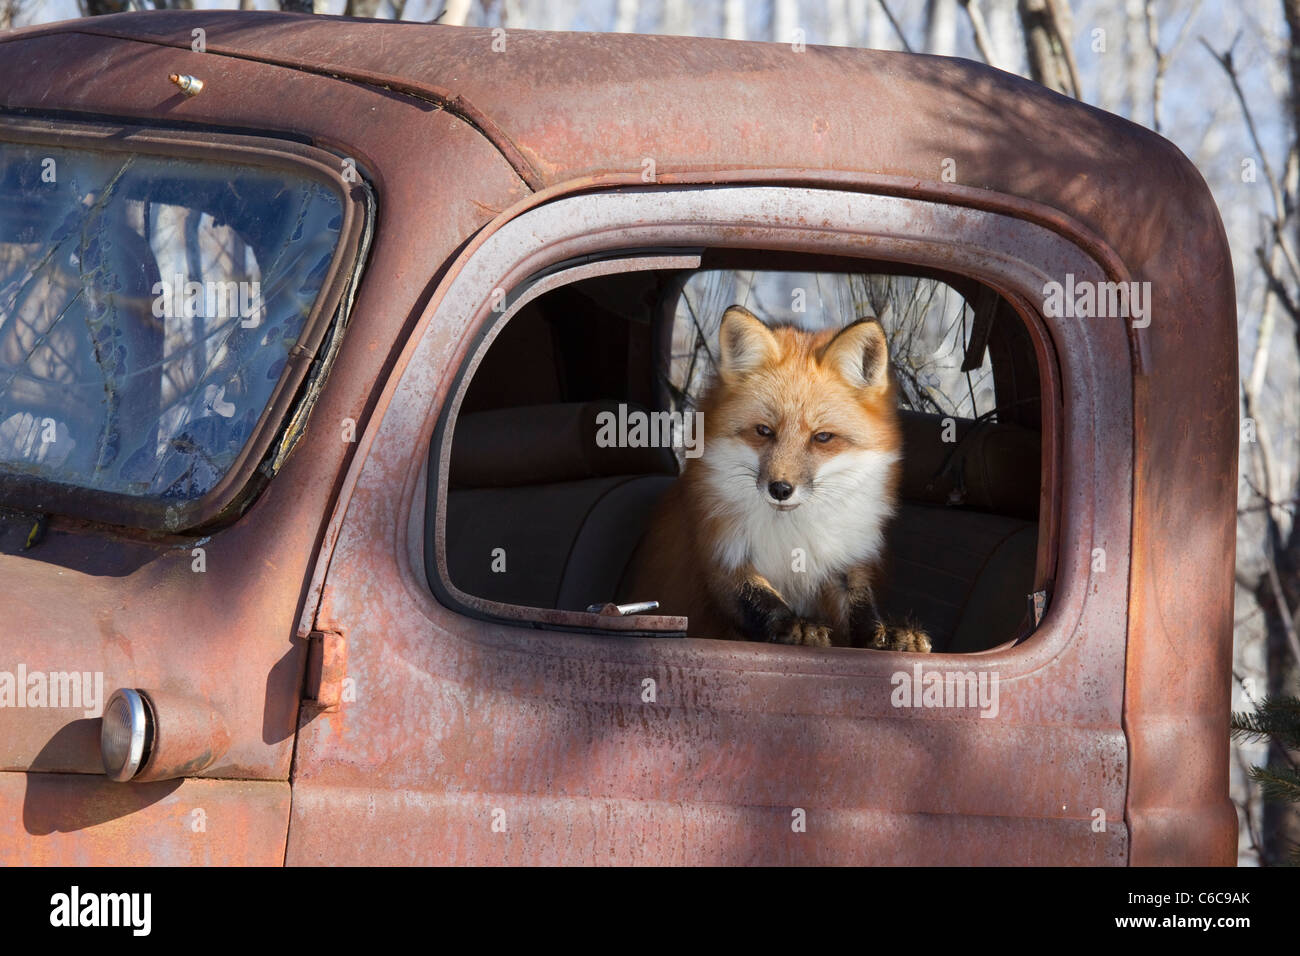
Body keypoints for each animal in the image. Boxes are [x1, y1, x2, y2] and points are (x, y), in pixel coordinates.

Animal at [624, 306, 930, 650]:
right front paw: (795, 625)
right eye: (764, 431)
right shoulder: (721, 552)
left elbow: (861, 608)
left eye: (822, 437)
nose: (781, 489)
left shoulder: (844, 566)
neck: (792, 531)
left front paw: (888, 634)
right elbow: (757, 597)